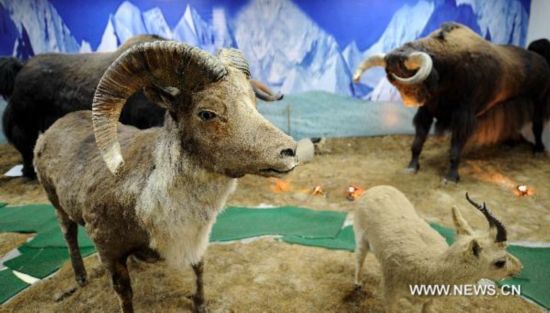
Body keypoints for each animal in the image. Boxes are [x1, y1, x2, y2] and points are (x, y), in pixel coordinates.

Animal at [0, 34, 284, 178]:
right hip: (24, 126)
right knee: (24, 147)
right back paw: (28, 173)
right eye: (207, 112)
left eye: (252, 101)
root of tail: (19, 69)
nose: (287, 150)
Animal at [34, 43, 302, 312]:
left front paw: (200, 304)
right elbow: (124, 293)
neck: (147, 198)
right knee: (68, 234)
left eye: (253, 103)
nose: (289, 151)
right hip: (56, 203)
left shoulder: (196, 238)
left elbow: (199, 268)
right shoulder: (108, 251)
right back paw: (80, 277)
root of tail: (50, 130)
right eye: (207, 113)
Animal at [356, 22, 548, 182]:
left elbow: (455, 150)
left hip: (539, 100)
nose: (409, 100)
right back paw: (510, 142)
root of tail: (541, 59)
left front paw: (451, 178)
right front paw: (412, 167)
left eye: (405, 71)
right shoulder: (426, 112)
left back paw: (538, 150)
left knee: (537, 125)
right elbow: (417, 143)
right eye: (391, 75)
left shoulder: (463, 118)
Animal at [356, 185, 524, 312]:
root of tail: (378, 188)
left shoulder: (430, 300)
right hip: (361, 240)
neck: (430, 267)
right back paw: (357, 284)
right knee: (359, 259)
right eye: (500, 262)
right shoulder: (390, 296)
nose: (520, 266)